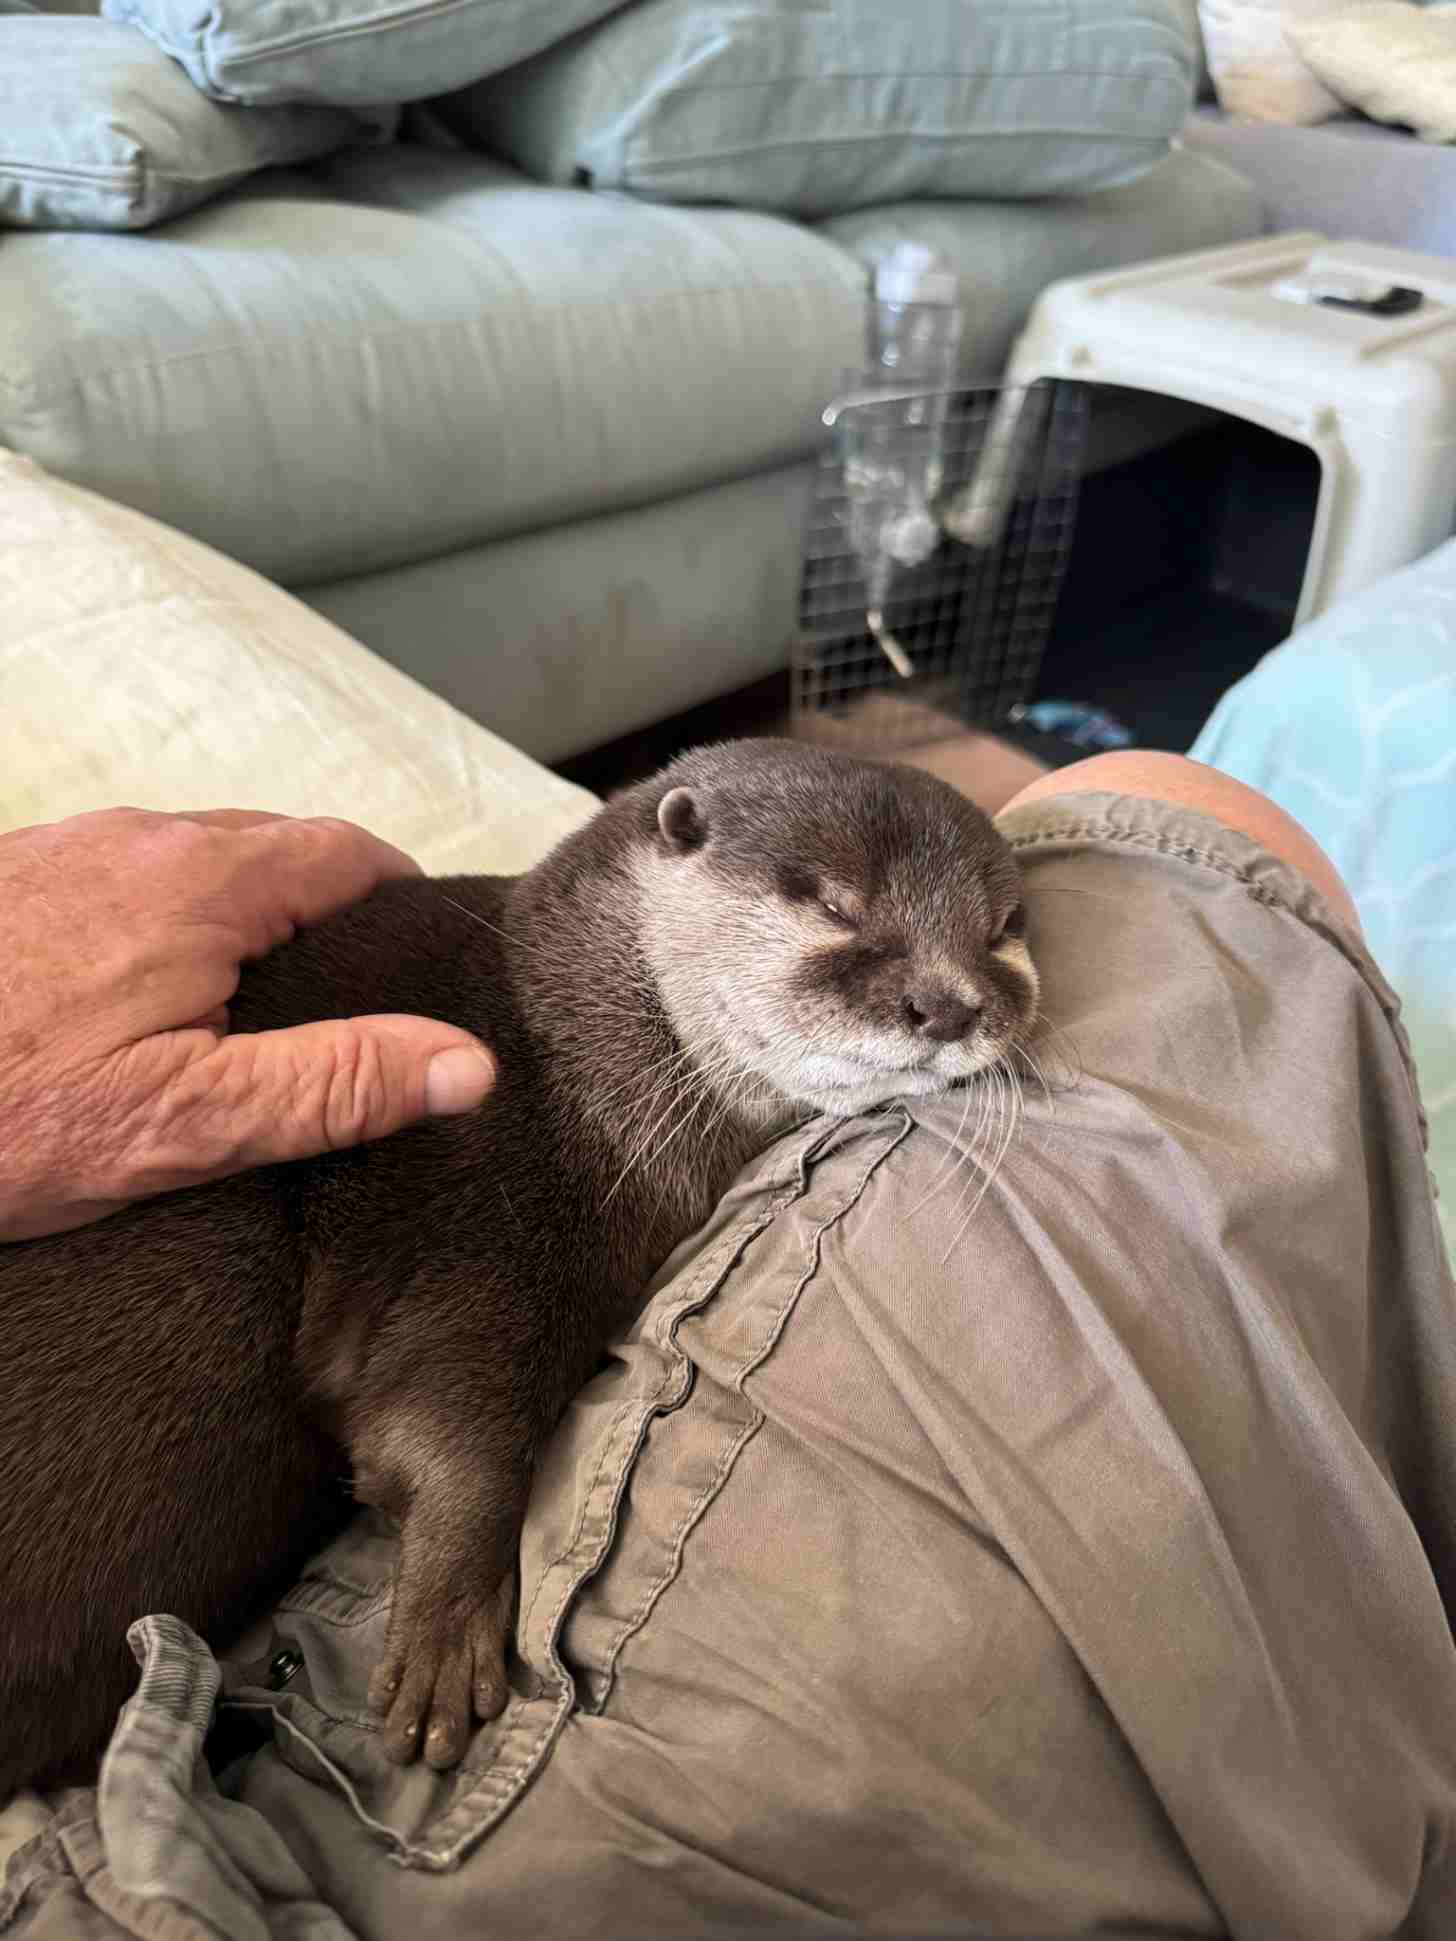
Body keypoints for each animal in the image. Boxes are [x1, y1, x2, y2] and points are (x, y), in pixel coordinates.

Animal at [0, 739, 1038, 1799]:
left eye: (1003, 932)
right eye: (833, 902)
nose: (949, 1004)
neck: (563, 1048)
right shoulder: (487, 1211)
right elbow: (443, 1417)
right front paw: (448, 1633)